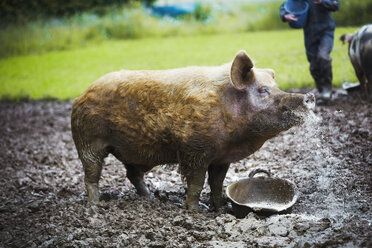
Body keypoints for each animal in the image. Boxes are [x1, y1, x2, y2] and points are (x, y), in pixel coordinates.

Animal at [70, 50, 314, 211]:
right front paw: (195, 211)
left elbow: (217, 183)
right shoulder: (194, 149)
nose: (308, 97)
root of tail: (81, 95)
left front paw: (220, 207)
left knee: (132, 174)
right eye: (263, 90)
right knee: (91, 175)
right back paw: (95, 207)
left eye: (276, 87)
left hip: (133, 151)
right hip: (88, 140)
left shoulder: (222, 158)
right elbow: (197, 181)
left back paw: (150, 199)